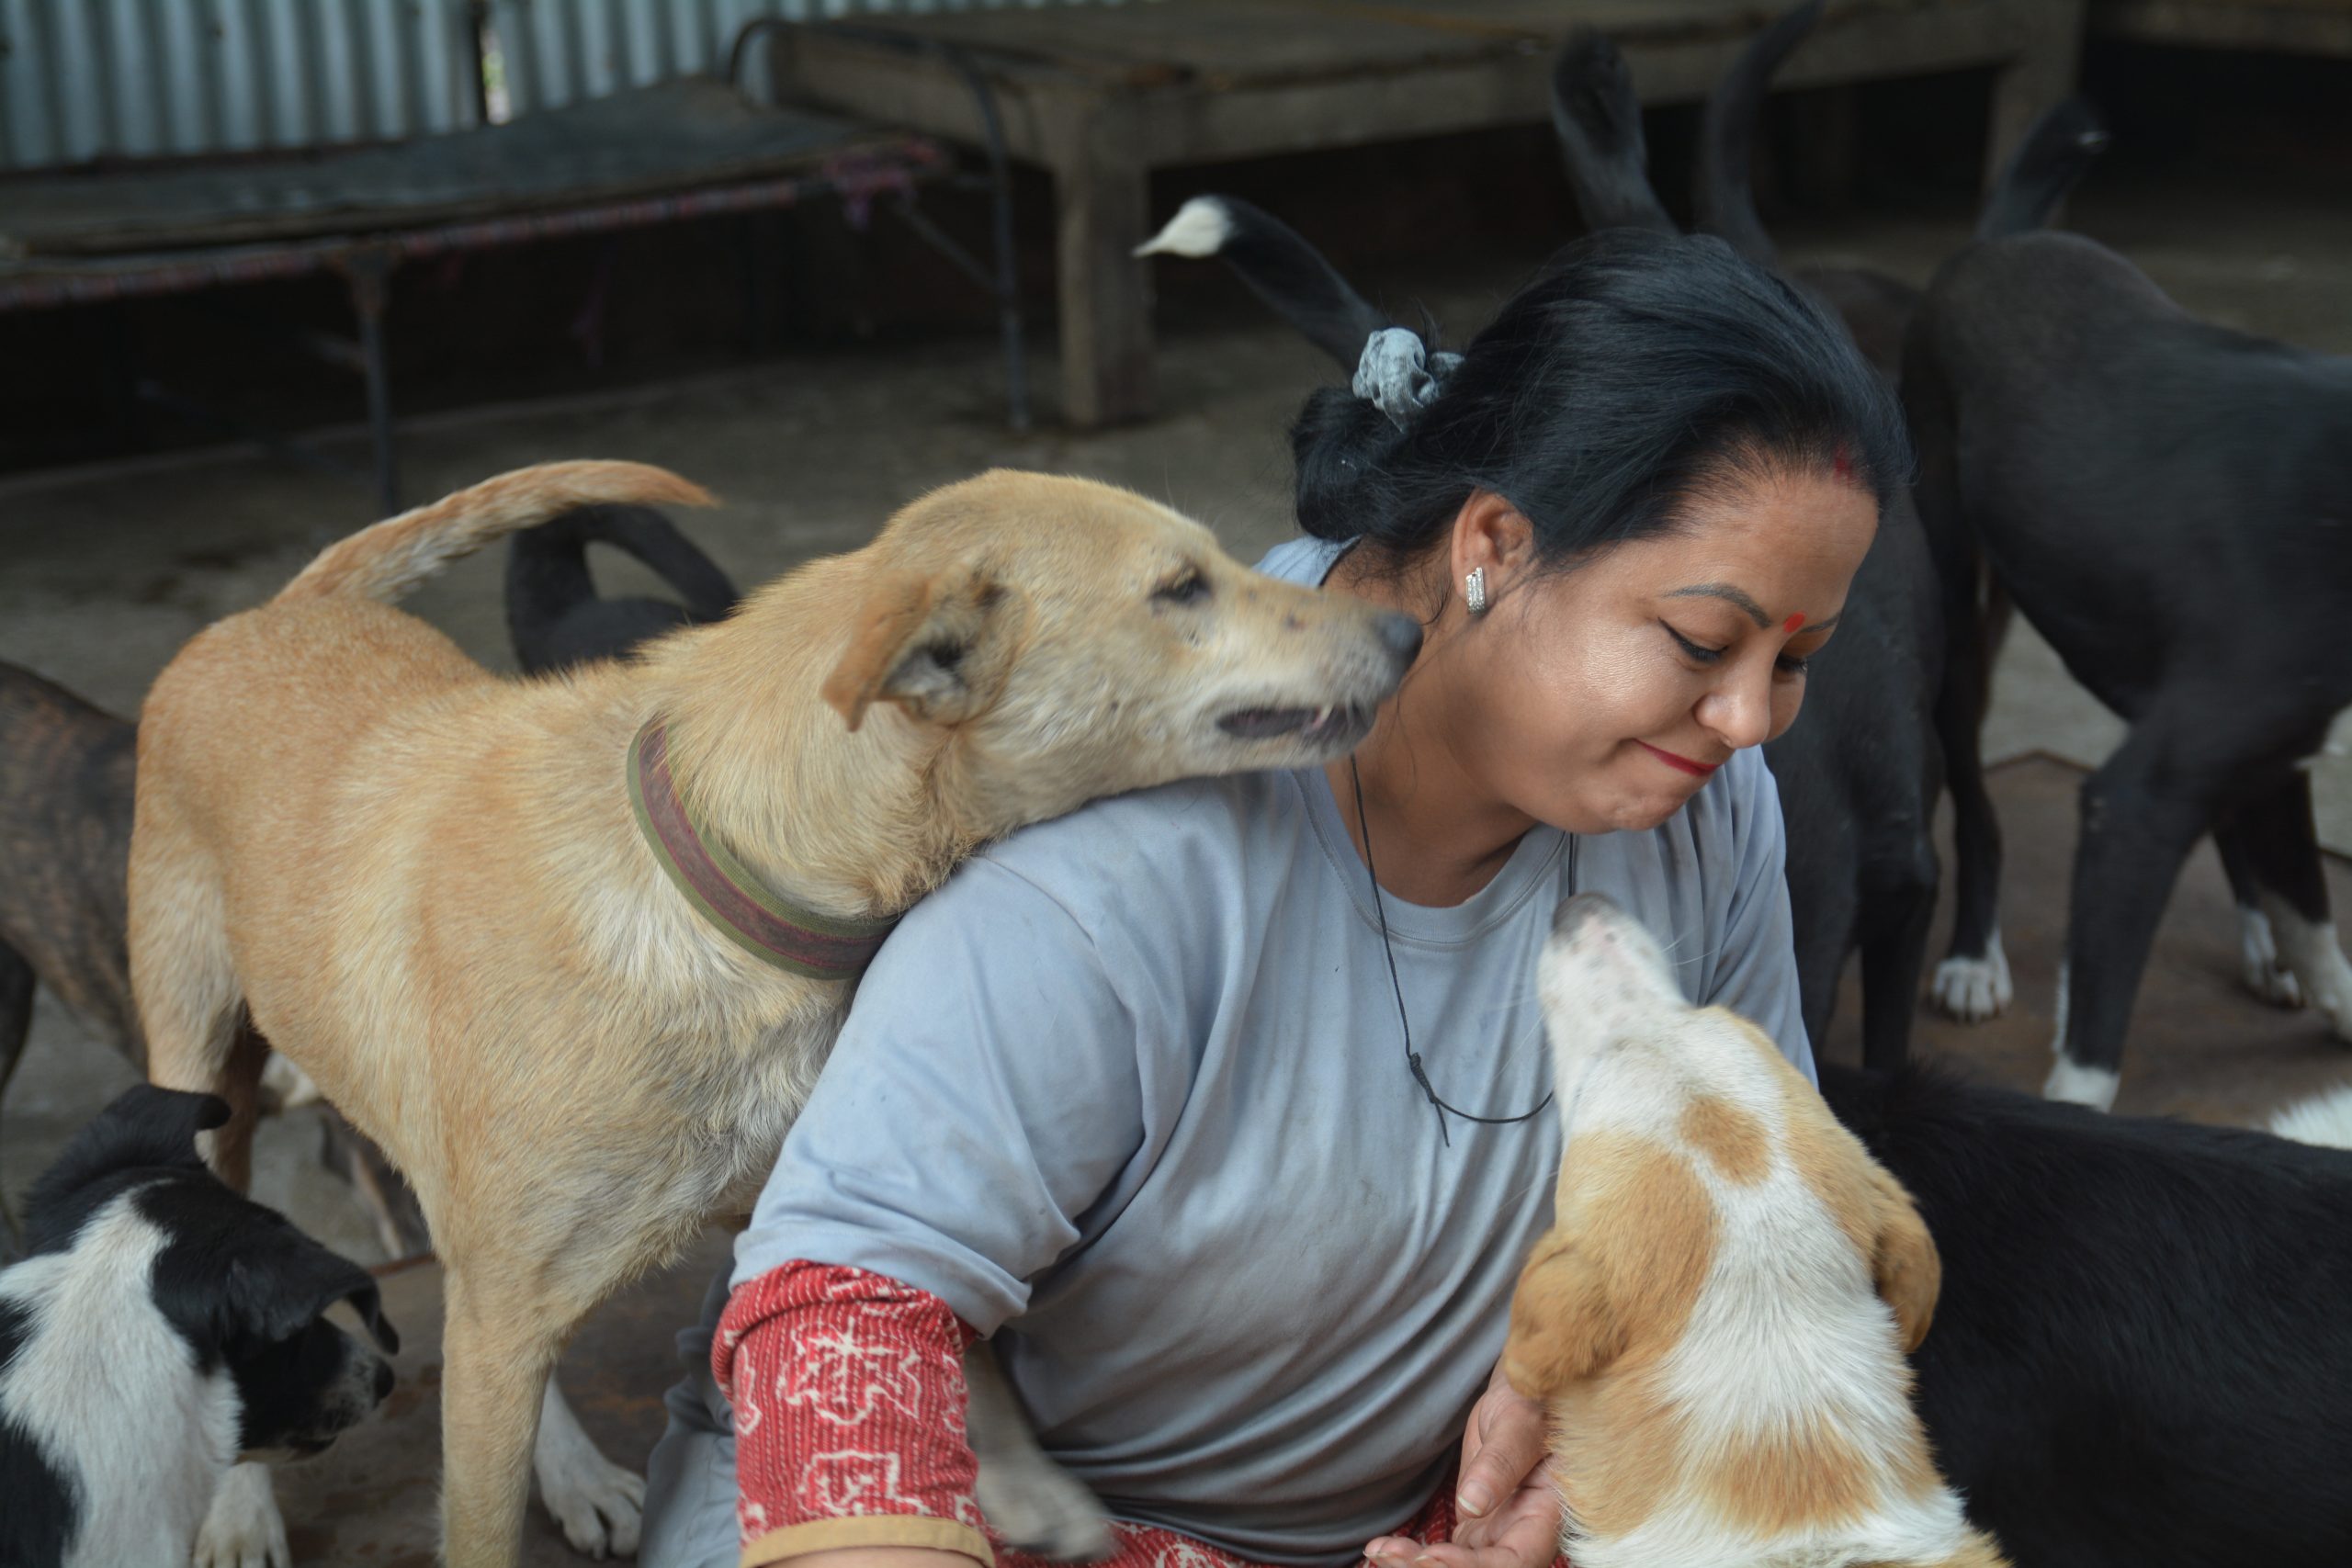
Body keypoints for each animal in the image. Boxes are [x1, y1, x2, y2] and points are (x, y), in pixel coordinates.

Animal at [1901, 101, 2351, 1108]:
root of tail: (2002, 240)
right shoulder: (2136, 806)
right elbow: (2094, 1056)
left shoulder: (2273, 753)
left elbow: (2312, 915)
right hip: (1955, 630)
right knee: (1979, 815)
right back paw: (1973, 957)